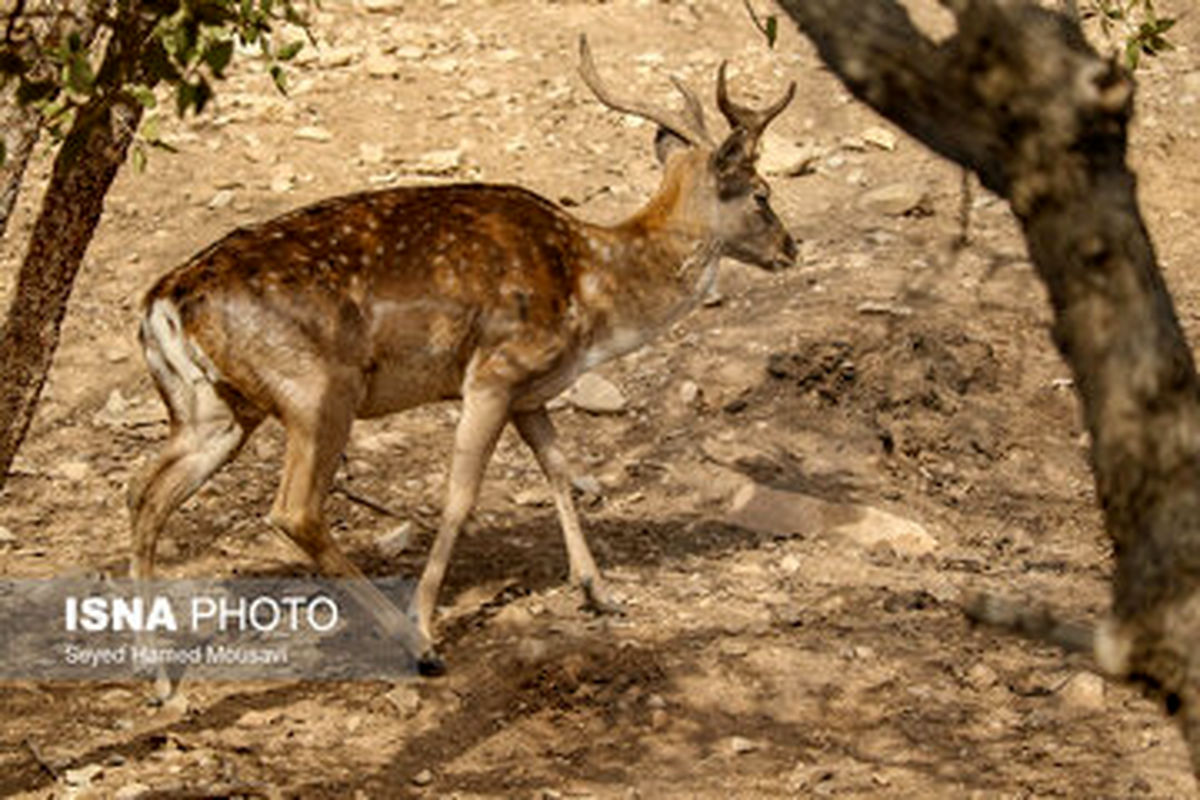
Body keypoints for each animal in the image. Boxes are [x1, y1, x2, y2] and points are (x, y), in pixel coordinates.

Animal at [129, 35, 796, 676]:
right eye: (762, 195)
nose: (792, 248)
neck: (594, 290)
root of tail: (162, 302)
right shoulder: (495, 373)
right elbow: (459, 498)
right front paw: (426, 621)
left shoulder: (532, 393)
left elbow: (560, 471)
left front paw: (599, 591)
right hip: (316, 389)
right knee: (294, 511)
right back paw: (413, 647)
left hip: (215, 411)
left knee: (144, 495)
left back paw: (159, 678)